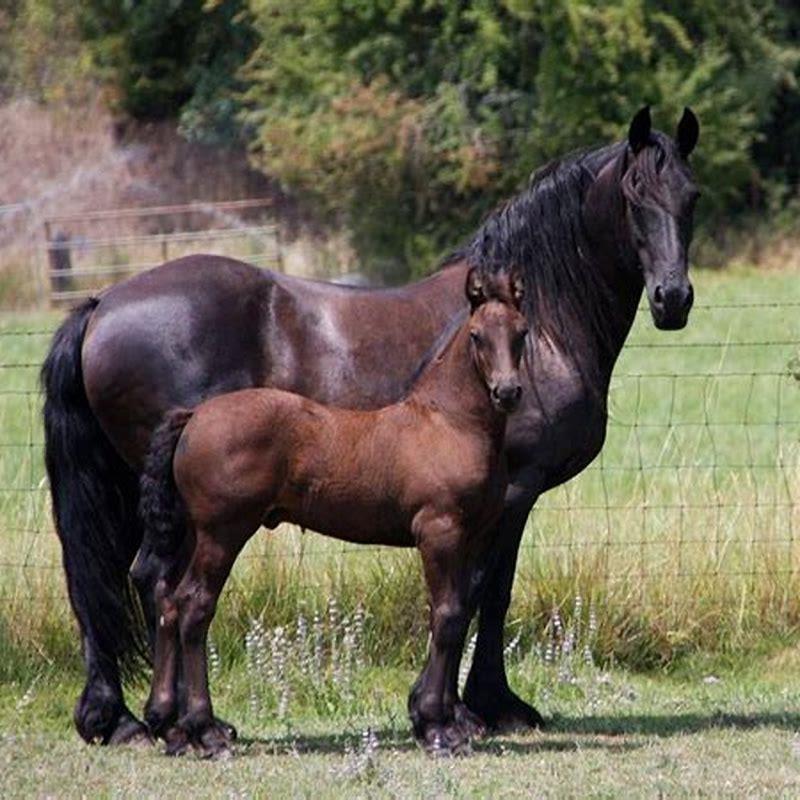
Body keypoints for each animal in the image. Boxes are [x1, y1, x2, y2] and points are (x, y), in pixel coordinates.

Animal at [136, 267, 528, 756]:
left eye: (521, 332)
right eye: (477, 336)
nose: (508, 392)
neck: (448, 423)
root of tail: (194, 416)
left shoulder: (474, 537)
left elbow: (458, 614)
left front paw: (437, 722)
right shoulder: (440, 532)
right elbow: (446, 615)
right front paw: (439, 728)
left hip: (194, 533)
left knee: (169, 599)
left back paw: (172, 725)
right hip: (222, 533)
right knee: (194, 606)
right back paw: (205, 730)